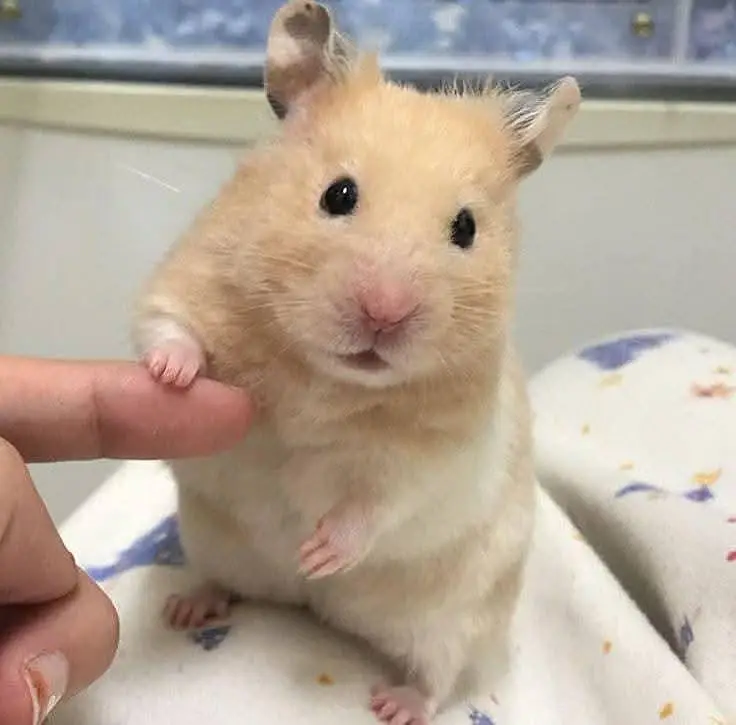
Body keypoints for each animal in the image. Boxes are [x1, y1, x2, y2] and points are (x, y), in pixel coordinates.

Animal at [132, 2, 581, 723]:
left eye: (466, 228)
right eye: (338, 194)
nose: (385, 314)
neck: (320, 374)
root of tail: (309, 609)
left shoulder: (434, 454)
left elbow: (378, 501)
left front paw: (319, 549)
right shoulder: (186, 279)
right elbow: (168, 329)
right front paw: (173, 377)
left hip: (457, 617)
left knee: (440, 674)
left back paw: (392, 697)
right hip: (209, 541)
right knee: (220, 581)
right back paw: (189, 607)